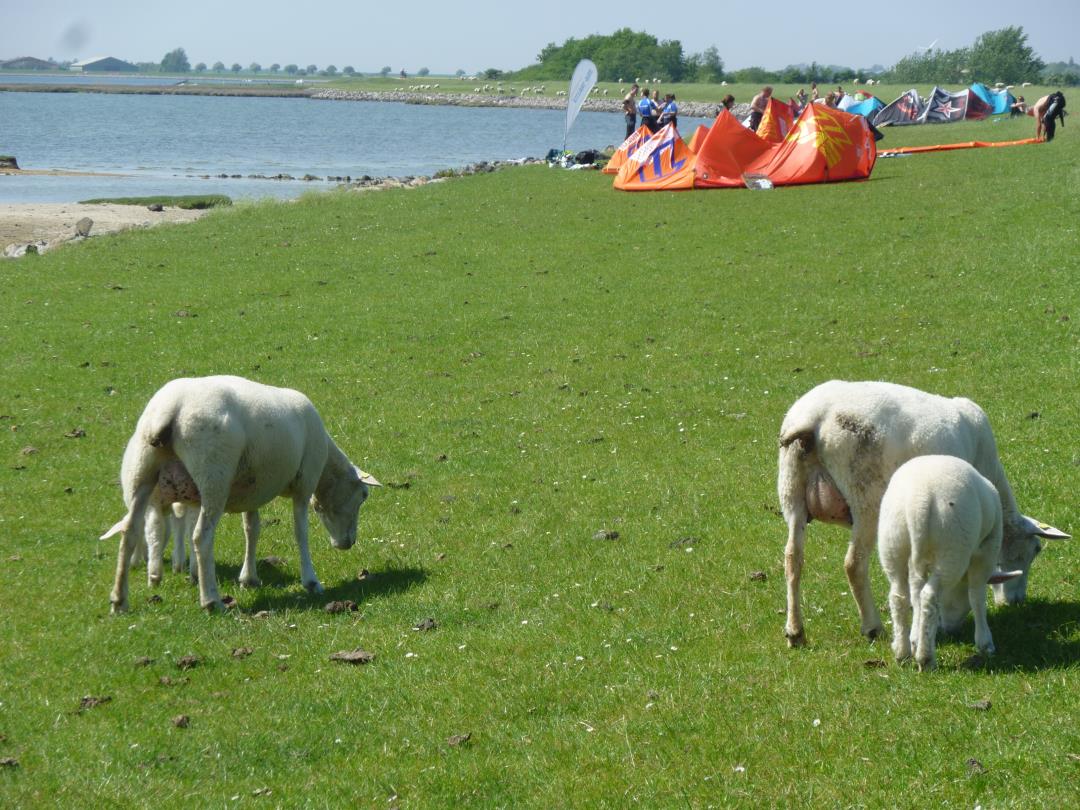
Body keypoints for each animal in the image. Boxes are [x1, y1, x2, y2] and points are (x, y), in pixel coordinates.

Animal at [104, 375, 380, 612]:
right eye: (363, 495)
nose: (347, 543)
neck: (326, 468)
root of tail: (169, 409)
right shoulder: (305, 484)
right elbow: (300, 532)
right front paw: (311, 581)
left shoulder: (253, 489)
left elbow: (252, 529)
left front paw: (249, 578)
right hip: (214, 474)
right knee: (201, 537)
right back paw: (211, 600)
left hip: (141, 472)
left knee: (130, 531)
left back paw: (119, 600)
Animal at [777, 380, 1068, 647]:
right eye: (1033, 551)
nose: (1015, 602)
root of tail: (814, 418)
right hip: (866, 499)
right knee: (853, 564)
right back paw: (872, 627)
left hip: (791, 490)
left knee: (793, 557)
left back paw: (795, 632)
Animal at [878, 455, 1039, 670]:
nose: (951, 630)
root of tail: (919, 504)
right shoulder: (987, 552)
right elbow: (977, 596)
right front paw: (985, 644)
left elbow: (915, 595)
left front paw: (915, 638)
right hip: (952, 548)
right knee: (929, 596)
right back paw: (926, 659)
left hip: (893, 541)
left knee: (899, 596)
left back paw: (902, 652)